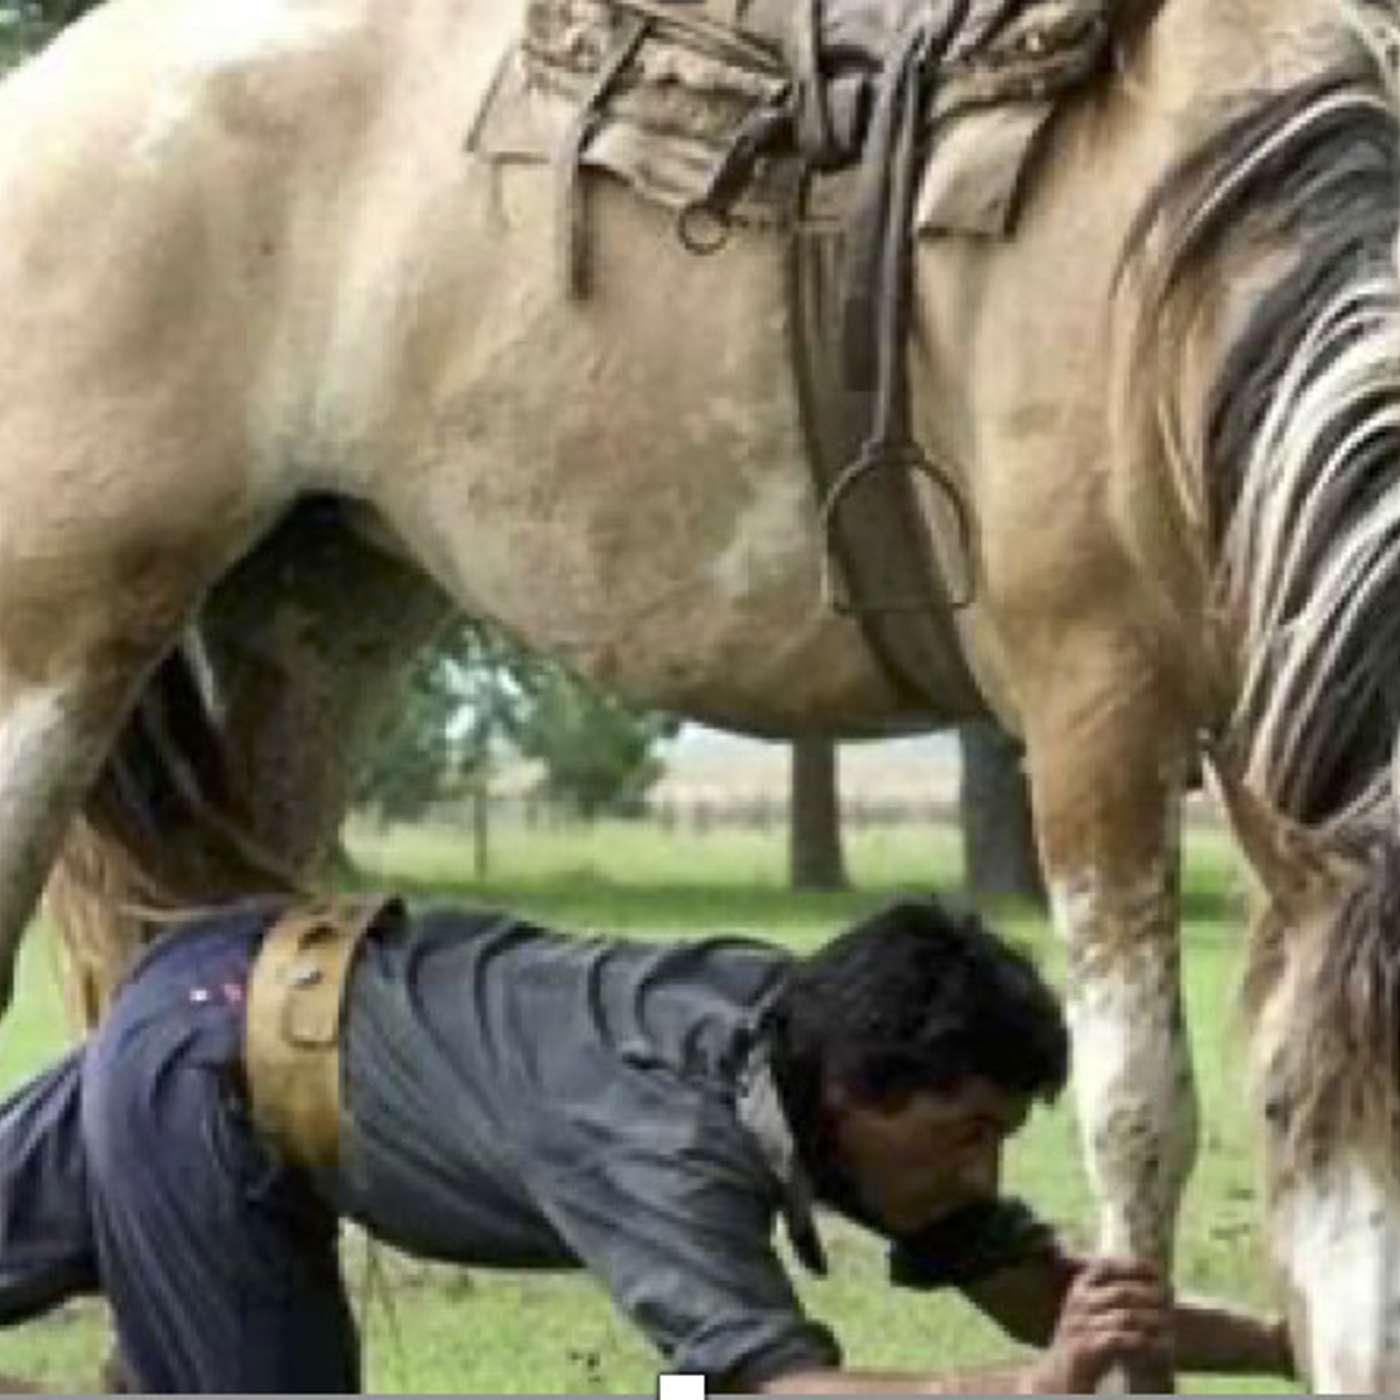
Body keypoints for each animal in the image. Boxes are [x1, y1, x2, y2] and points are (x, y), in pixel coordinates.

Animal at [5, 0, 1400, 1387]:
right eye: (1279, 1104)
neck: (1175, 272)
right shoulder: (1092, 714)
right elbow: (1138, 1112)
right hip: (56, 648)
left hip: (308, 624)